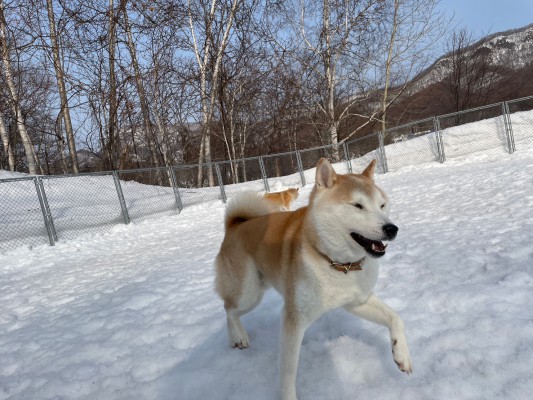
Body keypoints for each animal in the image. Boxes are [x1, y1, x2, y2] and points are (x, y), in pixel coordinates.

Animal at [213, 158, 412, 398]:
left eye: (382, 205)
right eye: (358, 206)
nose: (392, 229)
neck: (338, 263)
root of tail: (235, 225)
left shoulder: (357, 301)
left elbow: (396, 318)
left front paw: (401, 355)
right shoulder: (294, 319)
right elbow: (289, 371)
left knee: (229, 309)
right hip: (248, 294)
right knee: (228, 309)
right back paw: (238, 337)